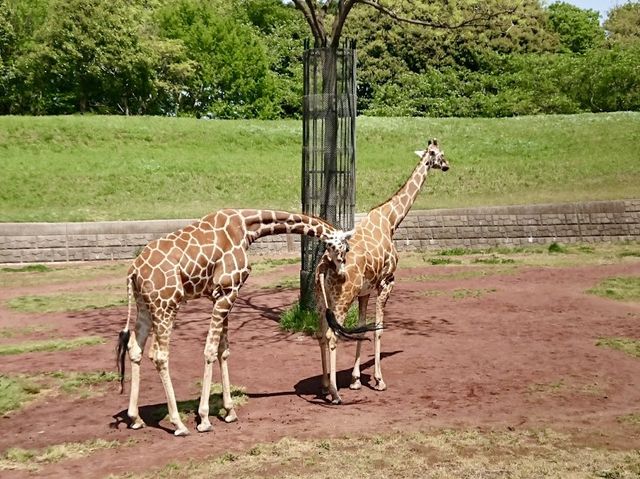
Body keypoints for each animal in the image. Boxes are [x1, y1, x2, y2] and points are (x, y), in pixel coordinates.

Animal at [117, 208, 352, 436]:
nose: (342, 273)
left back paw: (135, 418)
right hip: (166, 304)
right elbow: (210, 351)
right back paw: (178, 424)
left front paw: (229, 411)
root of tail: (133, 271)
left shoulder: (221, 295)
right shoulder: (228, 290)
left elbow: (223, 351)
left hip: (144, 305)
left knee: (135, 348)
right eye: (345, 249)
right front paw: (204, 419)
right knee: (159, 355)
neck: (247, 228)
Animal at [316, 140, 450, 404]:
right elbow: (378, 329)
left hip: (323, 298)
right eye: (439, 155)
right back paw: (335, 393)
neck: (391, 220)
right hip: (342, 297)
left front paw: (356, 380)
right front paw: (379, 381)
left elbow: (361, 327)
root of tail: (325, 262)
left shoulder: (365, 291)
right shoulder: (387, 282)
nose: (447, 166)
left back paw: (326, 386)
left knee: (321, 333)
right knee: (332, 335)